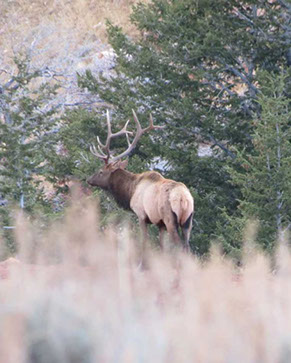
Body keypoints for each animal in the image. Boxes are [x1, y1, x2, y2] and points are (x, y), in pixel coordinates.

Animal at [86, 111, 194, 252]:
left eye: (100, 171)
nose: (88, 180)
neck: (130, 191)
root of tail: (183, 198)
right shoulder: (160, 224)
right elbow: (161, 246)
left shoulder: (141, 214)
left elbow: (144, 242)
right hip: (188, 221)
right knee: (187, 246)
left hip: (170, 218)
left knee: (179, 245)